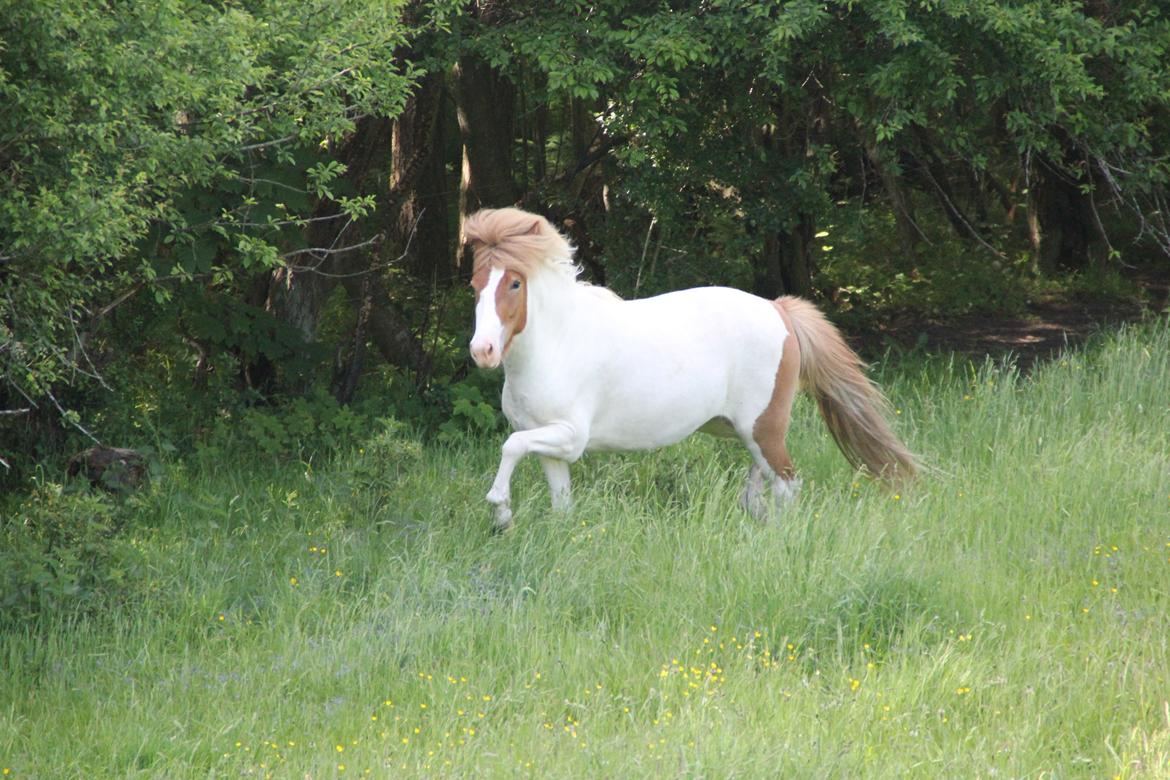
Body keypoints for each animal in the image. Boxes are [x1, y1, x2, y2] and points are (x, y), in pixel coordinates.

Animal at [463, 205, 912, 530]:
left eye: (515, 283)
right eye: (475, 285)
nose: (483, 350)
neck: (557, 345)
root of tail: (779, 309)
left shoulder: (571, 436)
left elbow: (510, 446)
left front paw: (499, 510)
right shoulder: (552, 445)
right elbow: (560, 501)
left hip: (762, 427)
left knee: (787, 484)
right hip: (749, 430)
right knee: (761, 485)